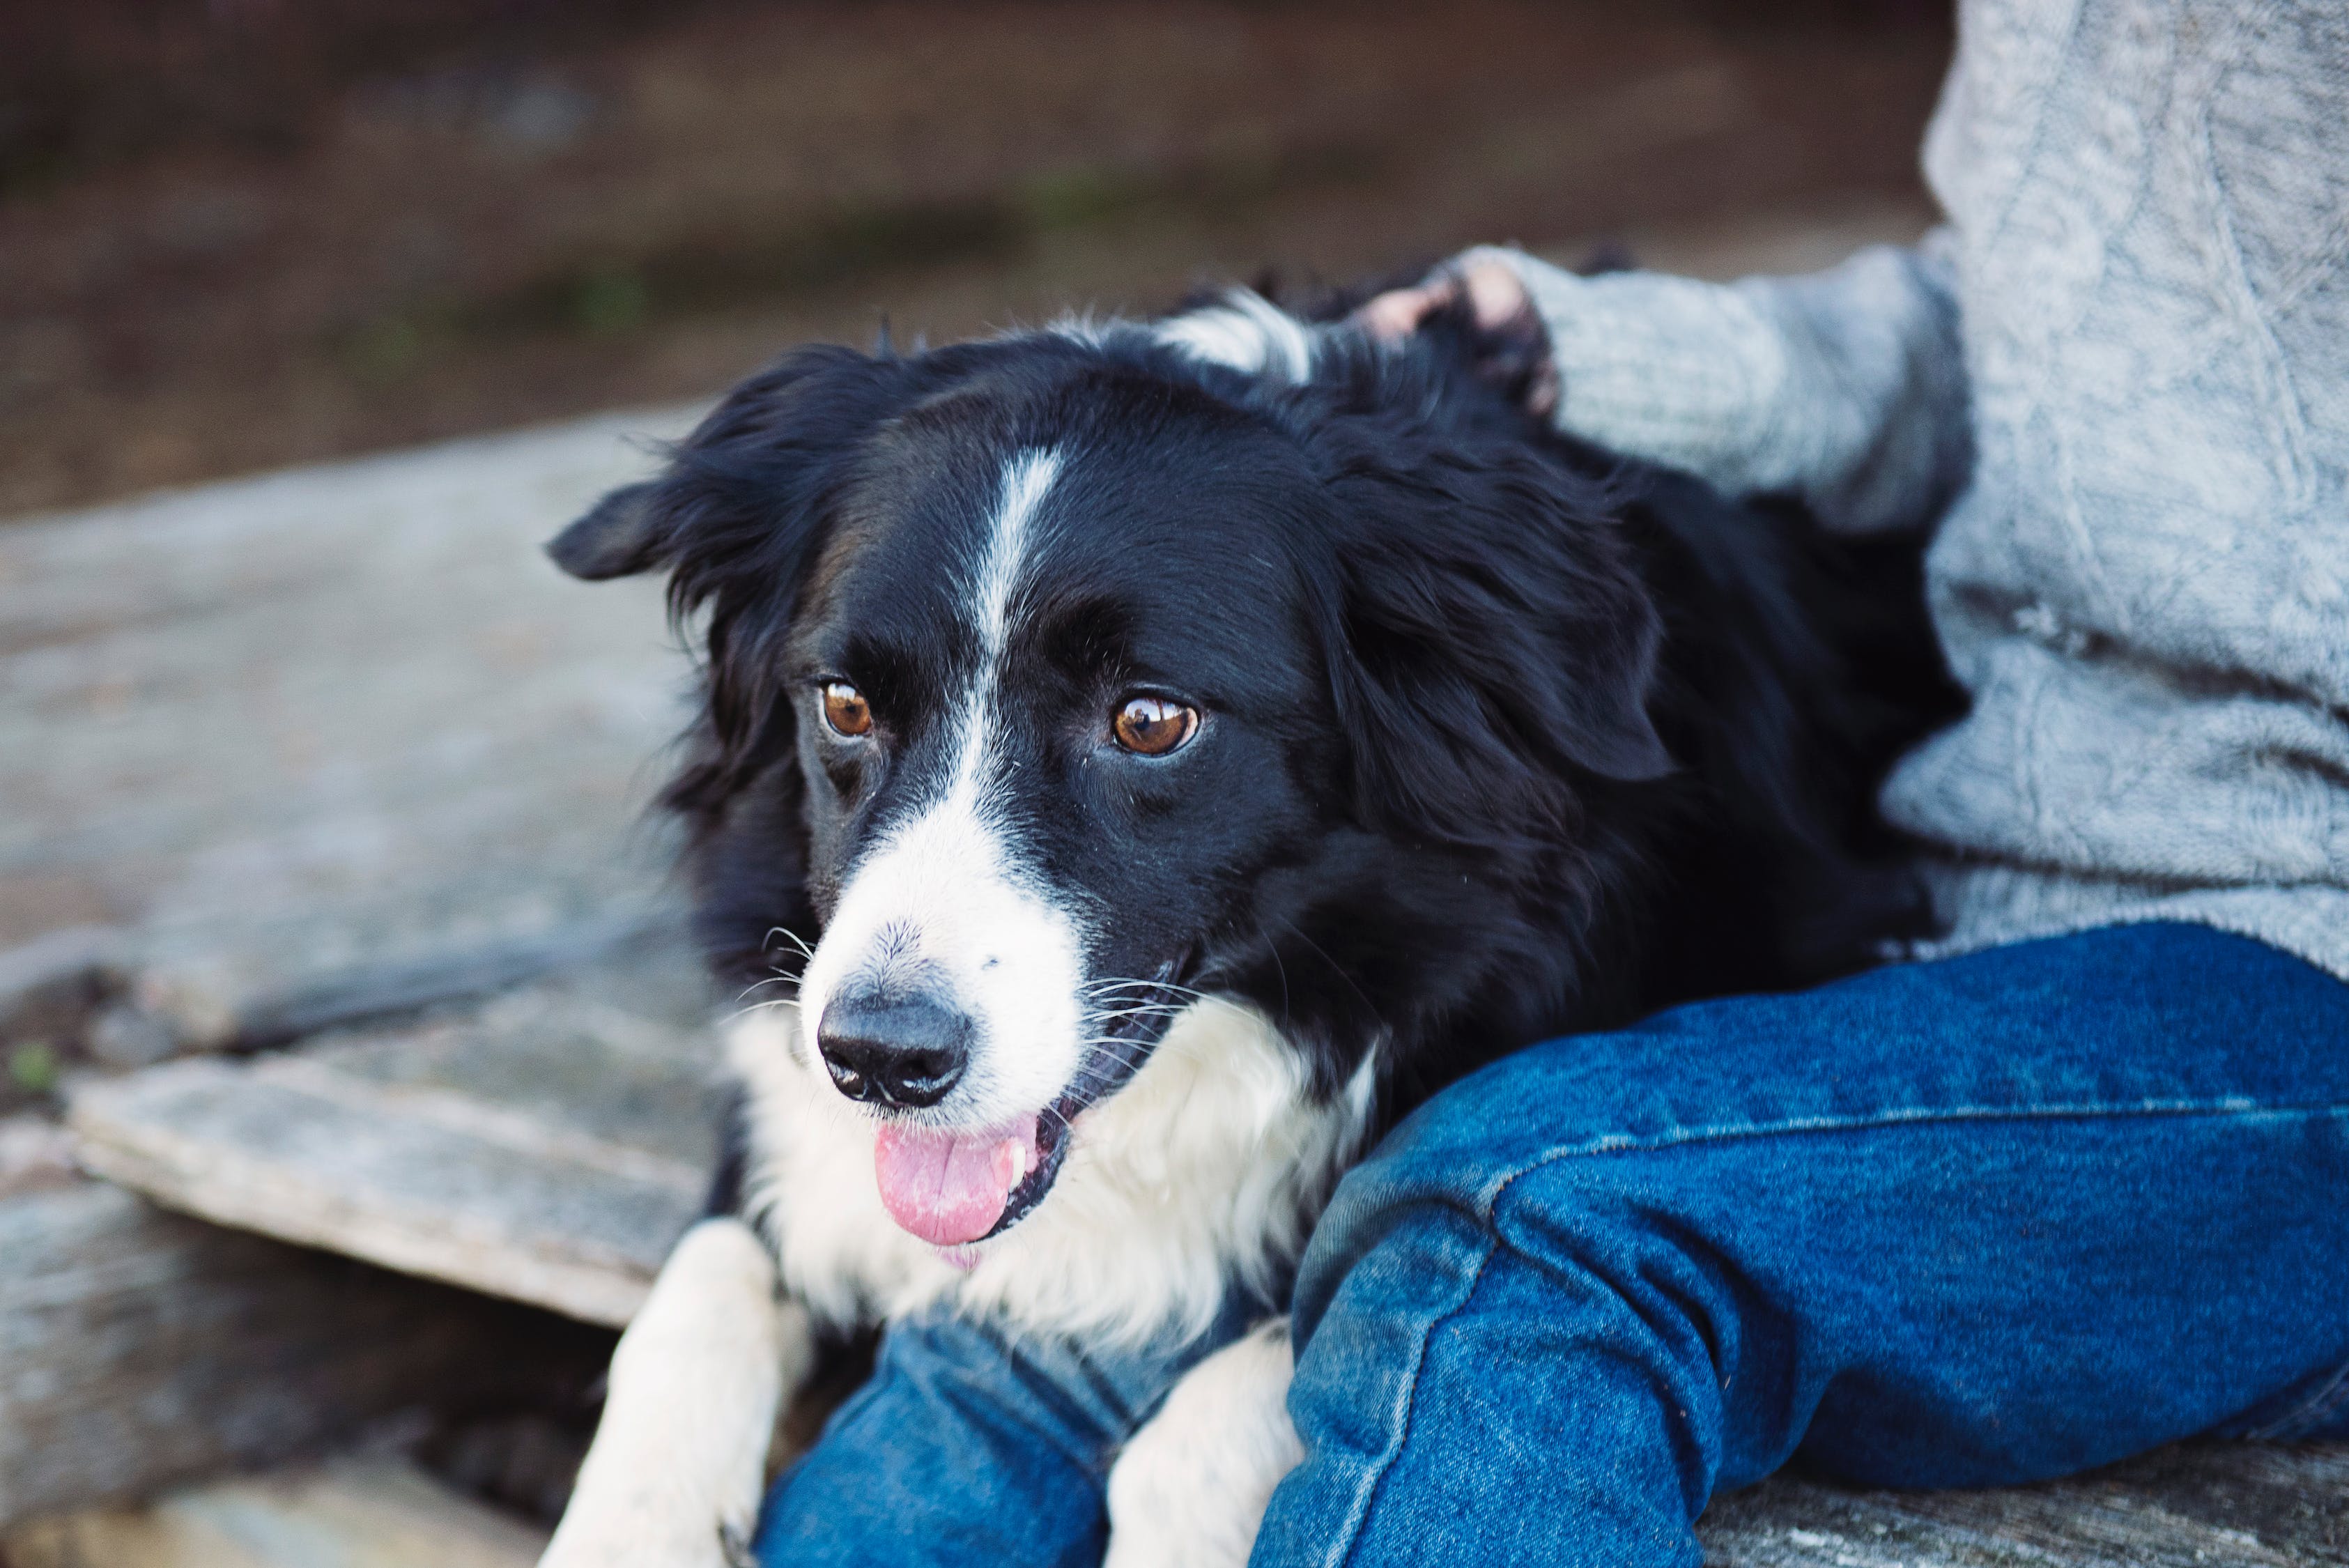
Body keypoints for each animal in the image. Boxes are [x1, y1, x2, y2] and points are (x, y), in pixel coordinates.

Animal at [540, 285, 1954, 1568]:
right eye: (841, 702)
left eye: (1150, 720)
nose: (881, 1060)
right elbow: (697, 1292)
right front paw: (632, 1526)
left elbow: (1250, 1373)